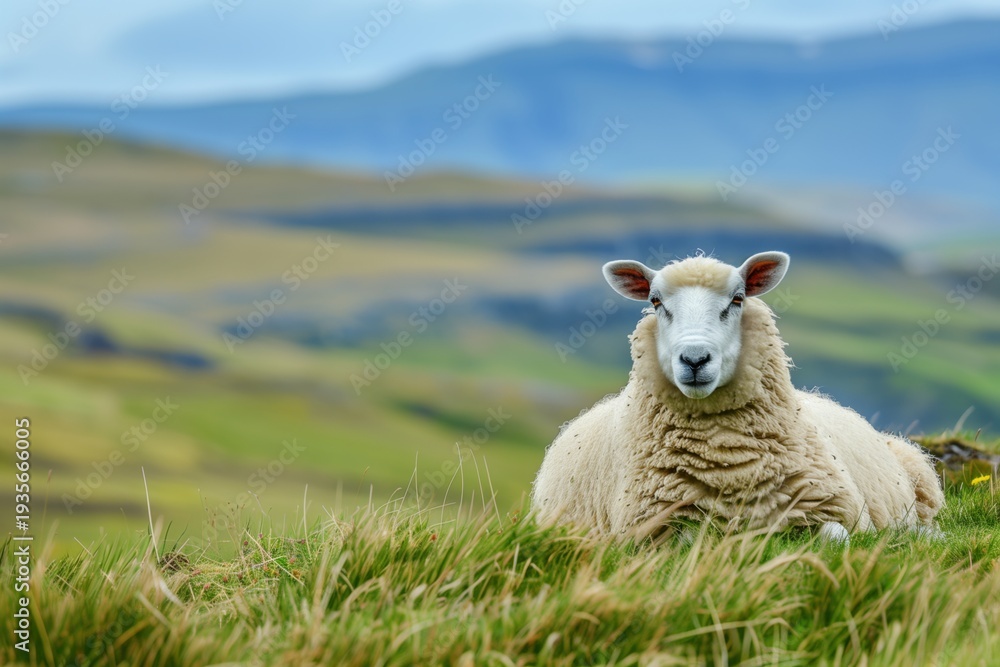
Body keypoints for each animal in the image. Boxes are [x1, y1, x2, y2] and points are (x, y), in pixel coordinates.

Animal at [531, 251, 944, 540]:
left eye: (738, 298)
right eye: (655, 301)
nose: (695, 359)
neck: (728, 459)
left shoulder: (838, 511)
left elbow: (836, 538)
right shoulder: (653, 529)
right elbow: (693, 540)